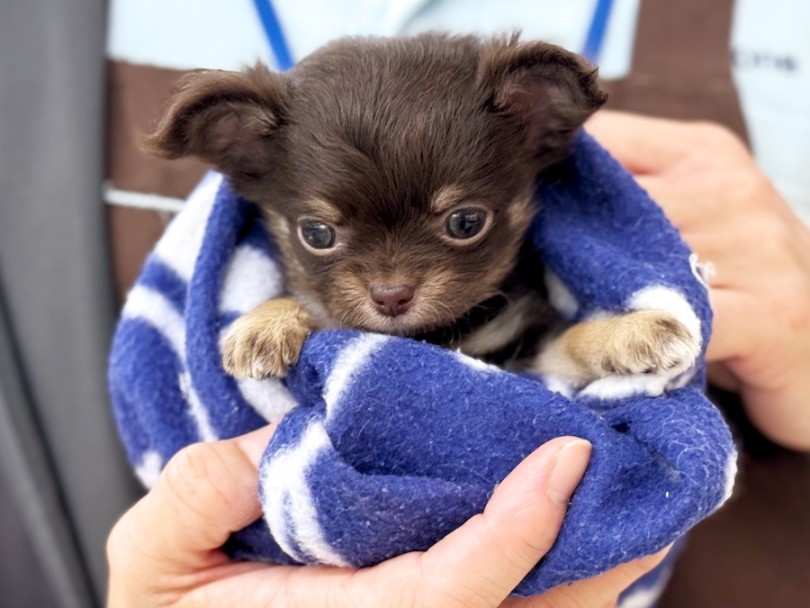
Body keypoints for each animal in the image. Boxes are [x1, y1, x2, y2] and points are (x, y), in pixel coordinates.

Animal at [144, 33, 696, 388]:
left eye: (466, 223)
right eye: (317, 234)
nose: (391, 296)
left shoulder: (526, 356)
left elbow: (572, 341)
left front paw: (633, 331)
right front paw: (264, 323)